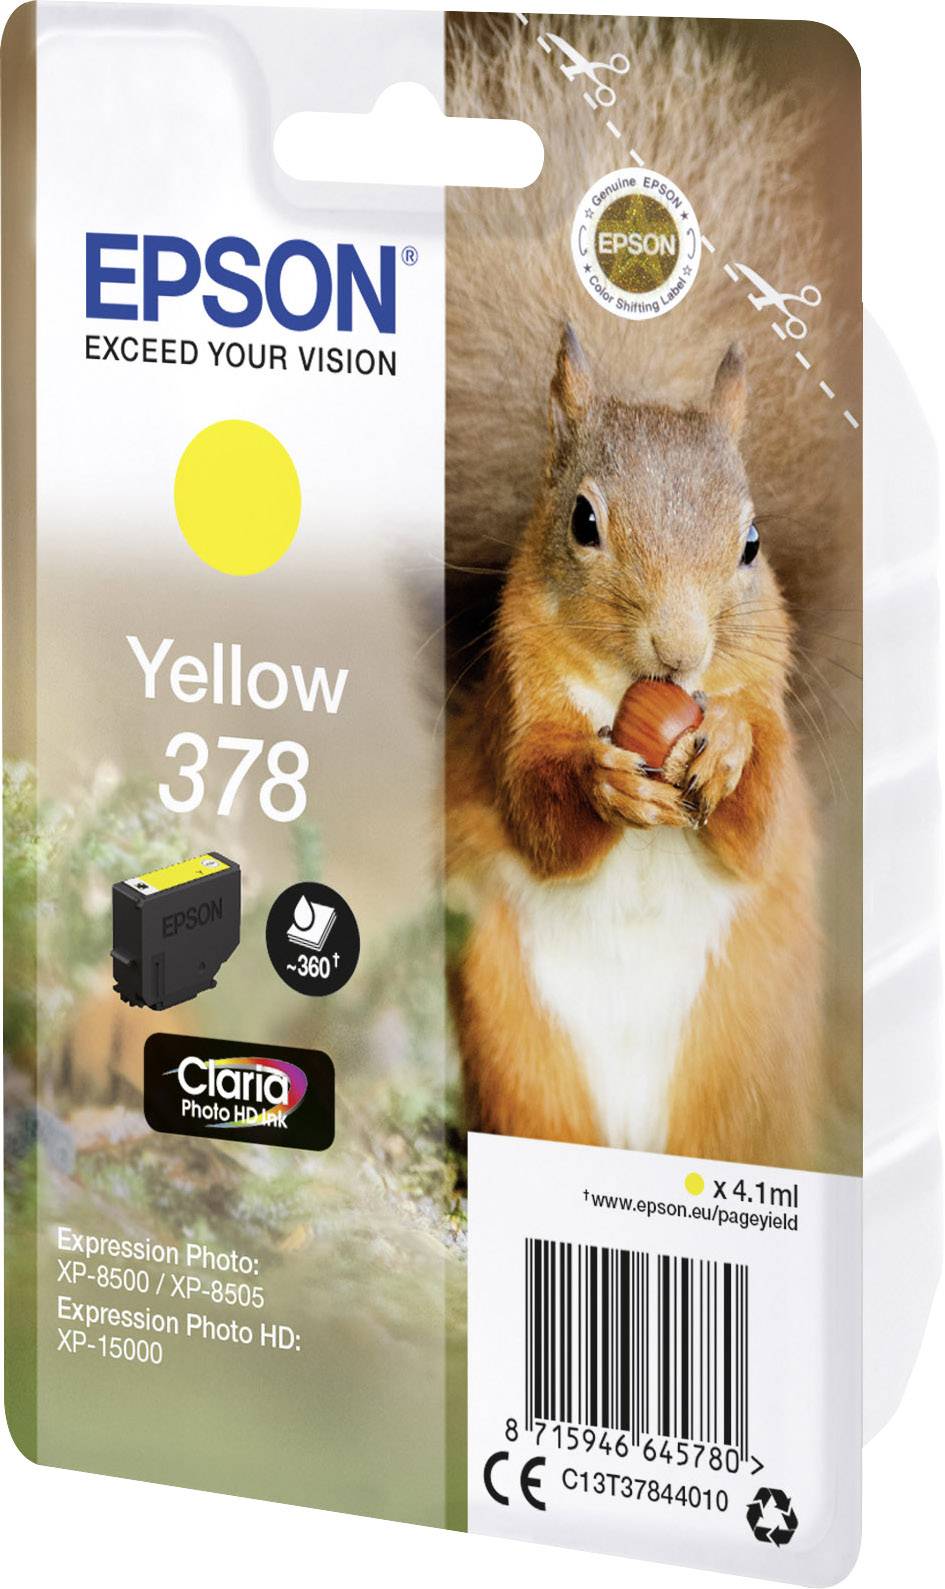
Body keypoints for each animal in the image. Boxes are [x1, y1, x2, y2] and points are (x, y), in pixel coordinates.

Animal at [443, 15, 859, 1168]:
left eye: (752, 543)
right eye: (584, 521)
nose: (679, 653)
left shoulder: (766, 696)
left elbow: (758, 816)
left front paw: (724, 750)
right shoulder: (515, 702)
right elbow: (535, 807)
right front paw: (601, 784)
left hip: (739, 1070)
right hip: (519, 1047)